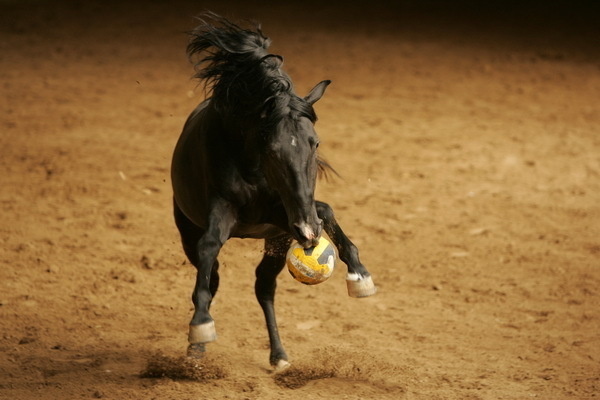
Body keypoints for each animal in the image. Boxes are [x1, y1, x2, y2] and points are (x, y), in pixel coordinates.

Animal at [171, 14, 376, 370]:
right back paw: (196, 349)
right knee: (213, 277)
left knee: (264, 287)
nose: (308, 234)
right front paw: (200, 326)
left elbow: (325, 211)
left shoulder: (283, 216)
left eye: (315, 143)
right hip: (187, 229)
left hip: (276, 240)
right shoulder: (224, 211)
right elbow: (209, 247)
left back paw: (278, 354)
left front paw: (360, 276)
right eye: (271, 148)